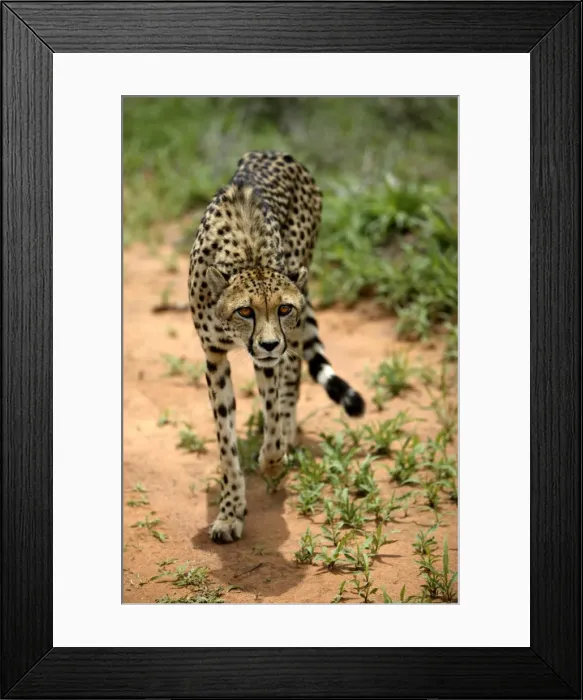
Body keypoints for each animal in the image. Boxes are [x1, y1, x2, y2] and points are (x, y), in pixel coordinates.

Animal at [188, 150, 365, 543]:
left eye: (283, 308)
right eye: (245, 311)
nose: (268, 343)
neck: (247, 256)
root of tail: (271, 153)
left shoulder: (272, 356)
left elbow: (271, 418)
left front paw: (272, 461)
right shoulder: (214, 356)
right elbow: (226, 443)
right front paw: (229, 513)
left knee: (292, 378)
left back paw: (288, 434)